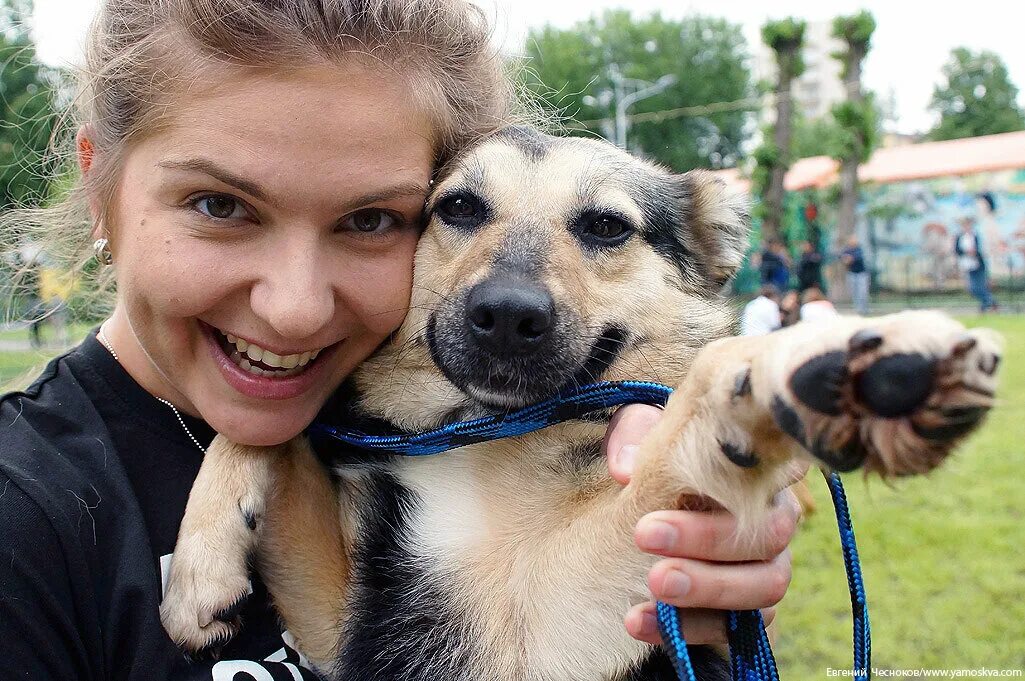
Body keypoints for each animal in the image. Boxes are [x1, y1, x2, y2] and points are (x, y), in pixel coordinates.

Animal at [157, 127, 1000, 681]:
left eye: (605, 226)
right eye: (458, 207)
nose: (505, 314)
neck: (489, 431)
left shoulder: (554, 616)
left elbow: (687, 411)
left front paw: (816, 359)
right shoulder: (347, 627)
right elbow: (268, 422)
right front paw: (198, 569)